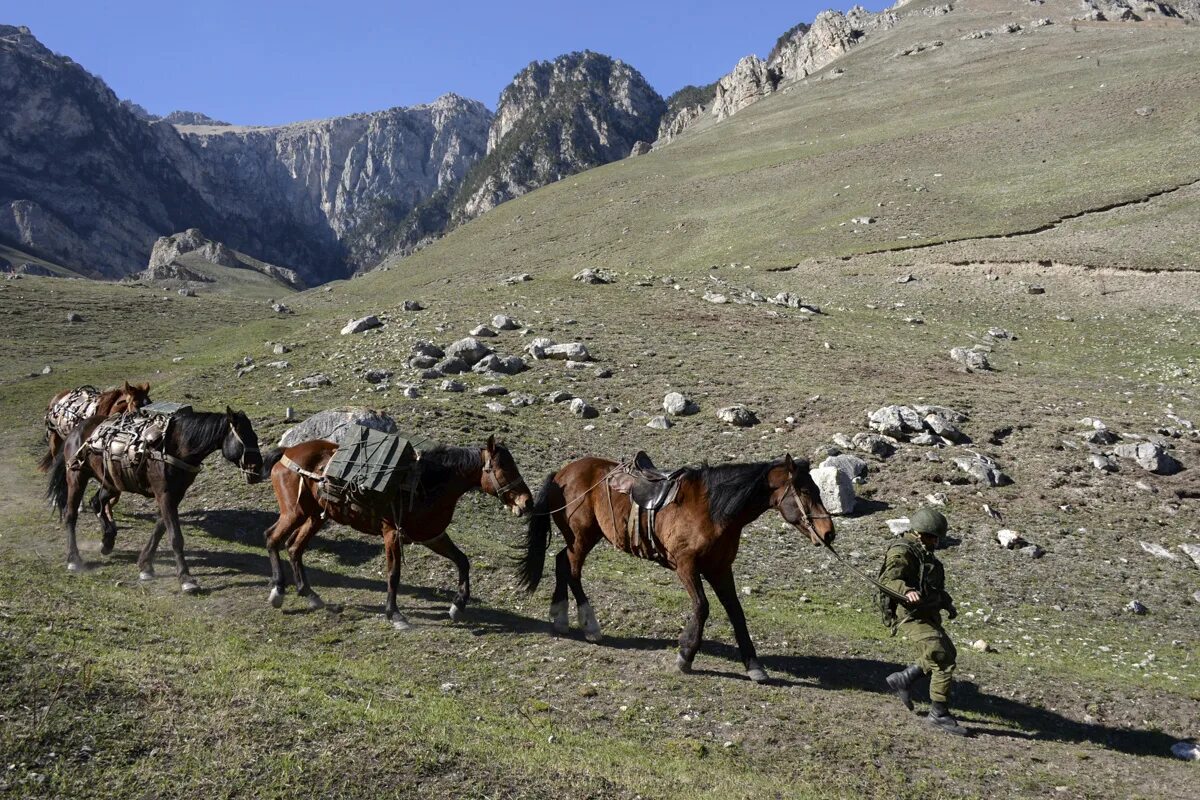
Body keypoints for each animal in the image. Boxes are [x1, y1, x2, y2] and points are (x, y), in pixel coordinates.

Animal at [48, 410, 262, 592]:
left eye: (255, 436)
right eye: (244, 437)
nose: (258, 469)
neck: (176, 447)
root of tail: (76, 430)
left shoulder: (174, 495)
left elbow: (160, 528)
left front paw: (145, 566)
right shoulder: (164, 494)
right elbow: (175, 536)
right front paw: (186, 579)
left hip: (111, 482)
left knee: (96, 502)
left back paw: (107, 541)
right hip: (76, 476)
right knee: (70, 514)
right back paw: (74, 559)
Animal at [265, 434, 532, 628]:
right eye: (503, 468)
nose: (527, 502)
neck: (426, 484)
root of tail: (287, 452)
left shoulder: (432, 536)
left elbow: (462, 561)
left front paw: (458, 606)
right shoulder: (392, 534)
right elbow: (394, 574)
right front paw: (394, 614)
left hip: (315, 516)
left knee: (294, 547)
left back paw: (310, 595)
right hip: (293, 513)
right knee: (272, 538)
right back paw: (278, 590)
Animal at [516, 453, 835, 686]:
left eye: (818, 489)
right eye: (805, 490)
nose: (828, 533)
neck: (714, 510)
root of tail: (562, 473)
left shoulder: (720, 569)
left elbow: (736, 612)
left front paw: (754, 665)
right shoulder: (686, 566)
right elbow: (702, 606)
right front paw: (685, 655)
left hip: (584, 537)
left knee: (561, 563)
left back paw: (560, 617)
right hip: (582, 537)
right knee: (572, 569)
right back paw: (590, 625)